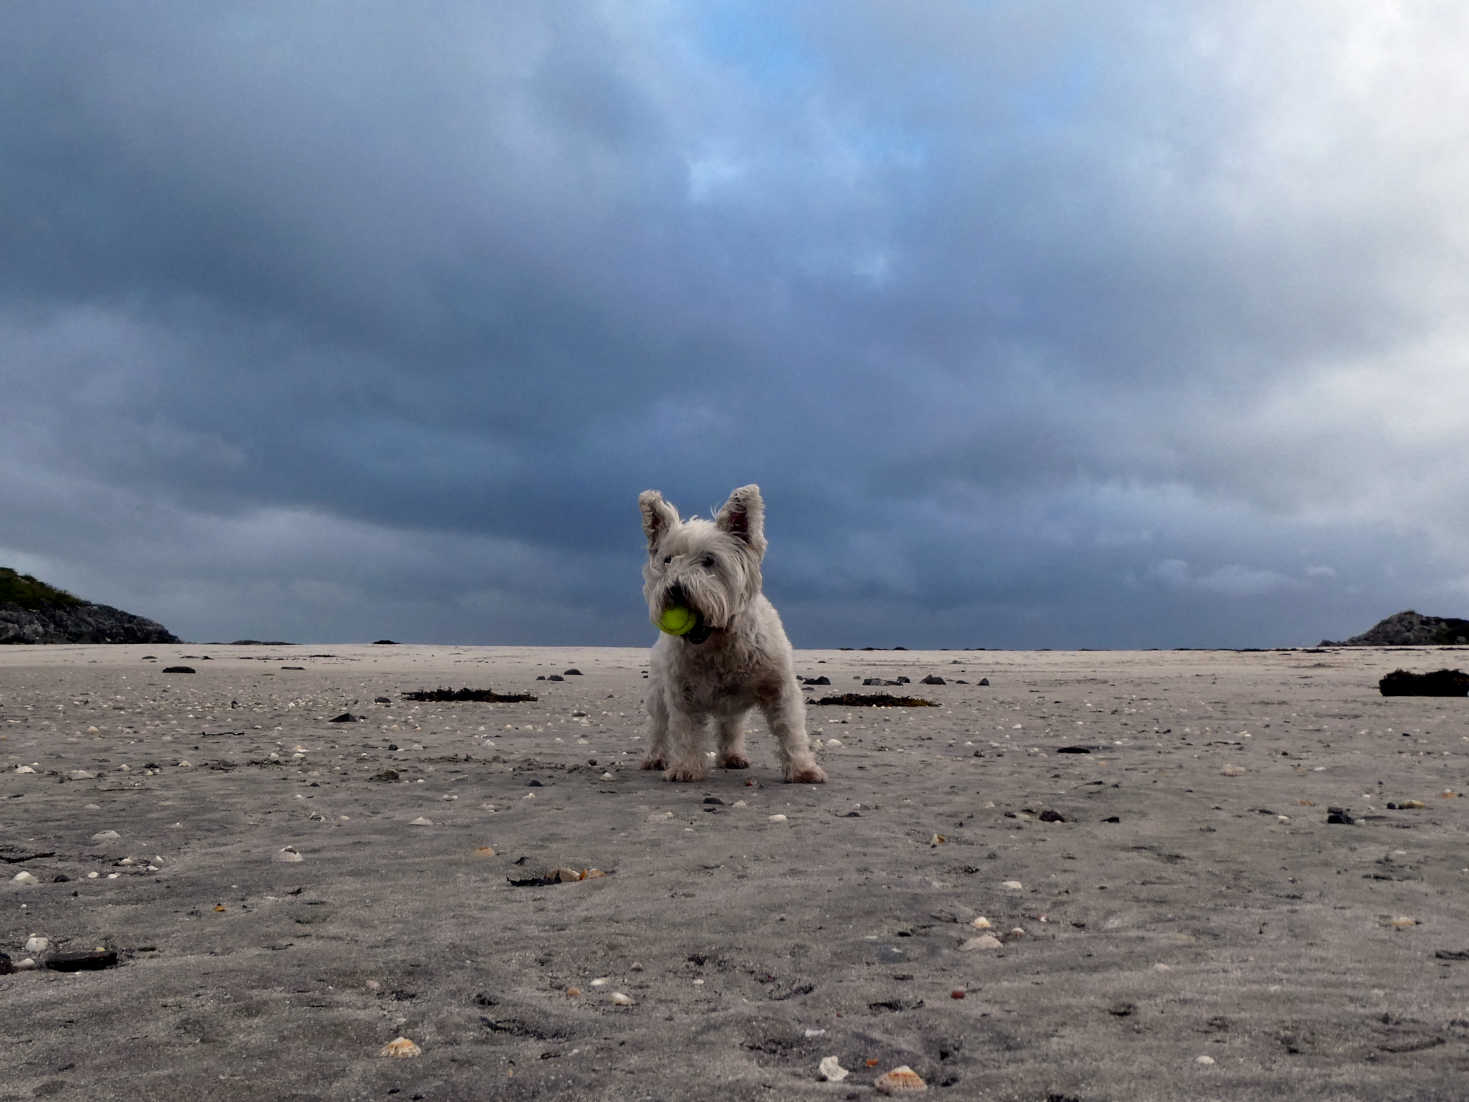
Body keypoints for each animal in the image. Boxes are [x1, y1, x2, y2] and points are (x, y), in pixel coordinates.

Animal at [637, 481, 828, 787]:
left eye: (709, 560)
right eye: (668, 560)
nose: (675, 590)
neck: (719, 643)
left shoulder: (779, 689)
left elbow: (791, 731)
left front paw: (803, 769)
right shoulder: (682, 694)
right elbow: (685, 731)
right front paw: (685, 768)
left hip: (733, 705)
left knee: (731, 725)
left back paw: (732, 756)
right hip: (657, 690)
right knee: (659, 726)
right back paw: (655, 757)